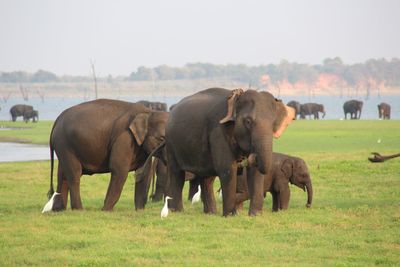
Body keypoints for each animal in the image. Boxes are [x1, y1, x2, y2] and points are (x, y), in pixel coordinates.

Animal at [164, 89, 296, 217]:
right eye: (248, 122)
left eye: (273, 123)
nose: (250, 156)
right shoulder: (218, 132)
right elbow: (227, 169)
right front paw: (230, 215)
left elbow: (255, 172)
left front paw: (255, 215)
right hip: (171, 144)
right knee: (177, 174)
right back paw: (178, 211)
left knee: (207, 179)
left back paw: (210, 213)